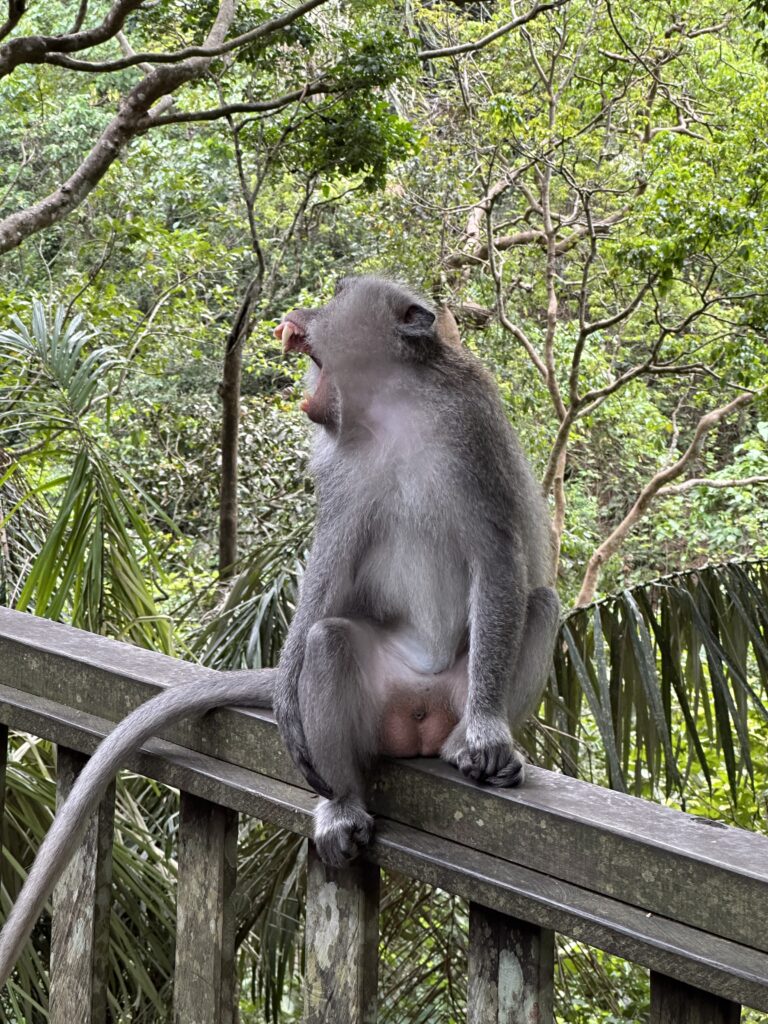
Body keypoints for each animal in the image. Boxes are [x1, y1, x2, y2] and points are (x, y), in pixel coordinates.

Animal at [0, 272, 557, 983]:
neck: (397, 406)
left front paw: (488, 730)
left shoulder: (472, 427)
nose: (299, 313)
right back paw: (341, 803)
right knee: (330, 643)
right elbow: (328, 570)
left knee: (538, 603)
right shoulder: (343, 460)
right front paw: (291, 693)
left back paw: (464, 741)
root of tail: (422, 716)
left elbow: (498, 560)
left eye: (340, 292)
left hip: (449, 693)